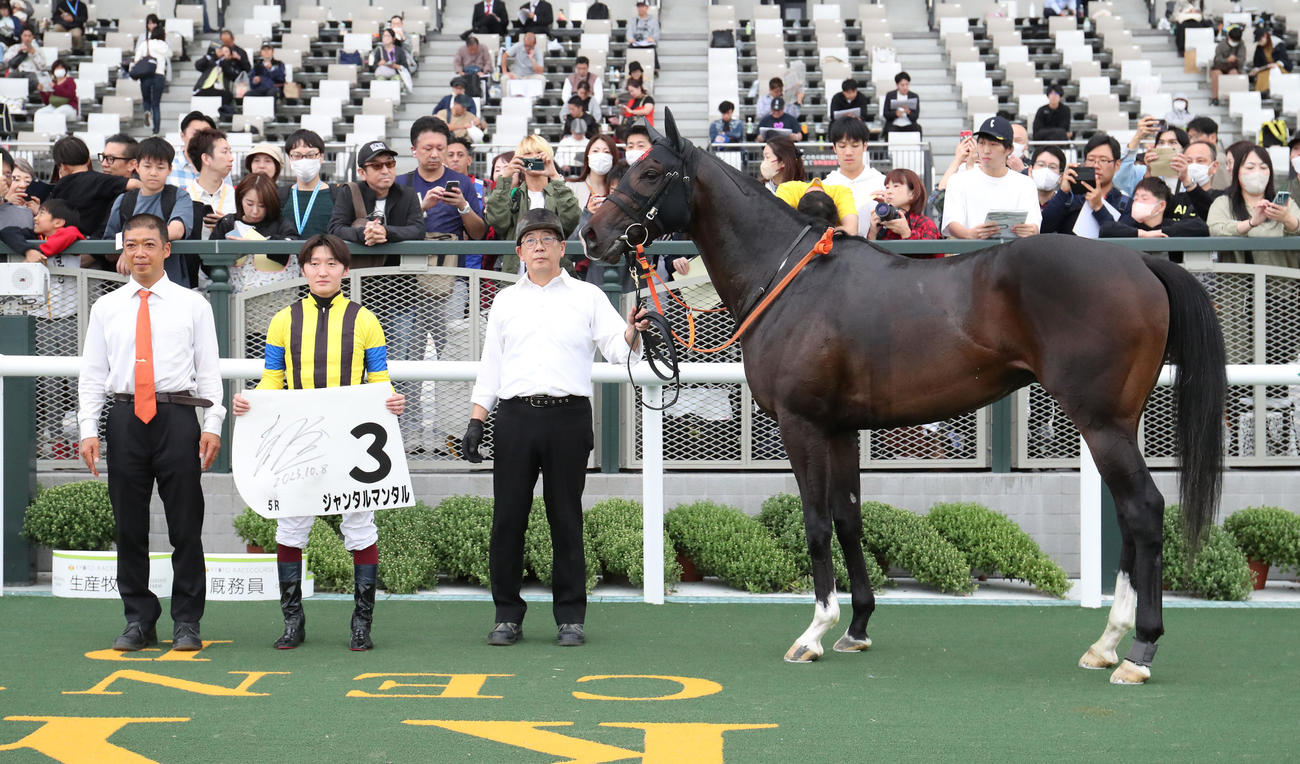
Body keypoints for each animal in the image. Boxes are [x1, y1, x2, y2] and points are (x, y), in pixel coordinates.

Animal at [582, 110, 1226, 685]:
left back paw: (1138, 651)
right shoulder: (840, 428)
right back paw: (1106, 644)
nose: (590, 234)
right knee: (1128, 515)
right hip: (1117, 422)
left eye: (648, 173)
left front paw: (814, 632)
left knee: (1143, 509)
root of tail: (1140, 264)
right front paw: (857, 627)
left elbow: (816, 522)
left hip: (1100, 421)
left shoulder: (801, 424)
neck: (792, 280)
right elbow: (848, 518)